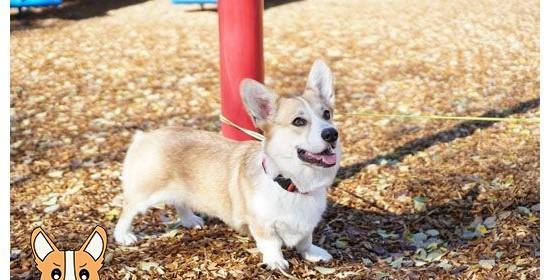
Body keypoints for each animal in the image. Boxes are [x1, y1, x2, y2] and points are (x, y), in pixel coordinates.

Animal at [115, 59, 342, 272]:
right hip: (144, 193)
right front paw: (275, 261)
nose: (332, 134)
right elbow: (271, 243)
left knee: (179, 201)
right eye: (298, 122)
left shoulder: (306, 226)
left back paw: (189, 220)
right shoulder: (262, 224)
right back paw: (123, 235)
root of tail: (144, 136)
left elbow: (306, 240)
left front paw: (313, 253)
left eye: (327, 114)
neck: (292, 183)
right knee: (128, 210)